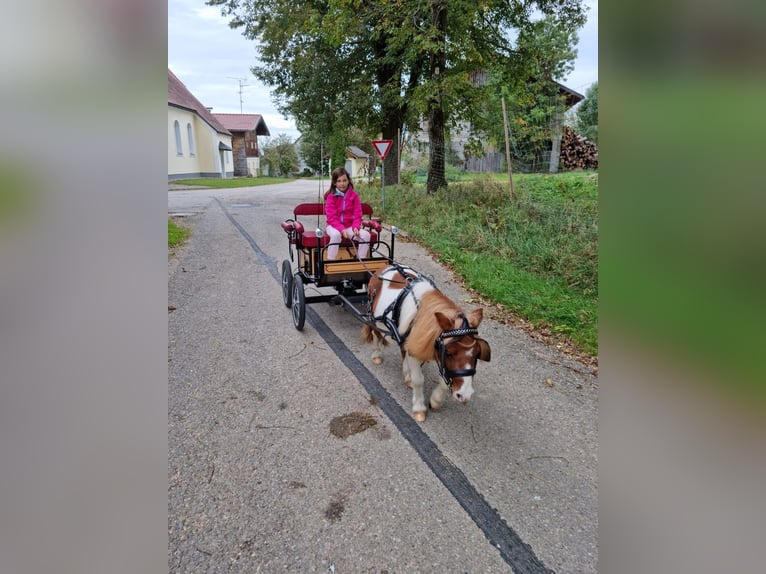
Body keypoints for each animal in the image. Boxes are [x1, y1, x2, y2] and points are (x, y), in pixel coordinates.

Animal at [364, 266, 496, 424]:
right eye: (449, 352)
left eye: (477, 354)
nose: (465, 395)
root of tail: (384, 267)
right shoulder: (418, 349)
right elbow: (419, 380)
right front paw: (419, 408)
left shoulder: (431, 351)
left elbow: (444, 381)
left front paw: (435, 401)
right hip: (374, 319)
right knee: (376, 335)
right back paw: (377, 355)